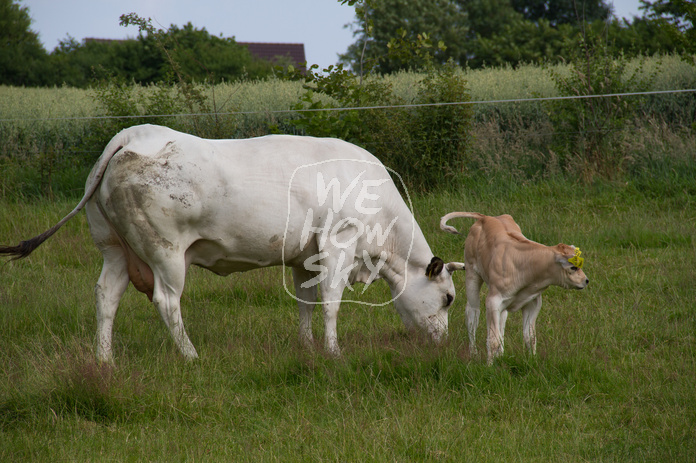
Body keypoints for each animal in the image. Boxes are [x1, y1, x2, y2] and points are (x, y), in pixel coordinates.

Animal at [4, 126, 468, 362]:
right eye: (448, 299)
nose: (443, 343)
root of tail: (131, 136)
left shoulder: (304, 257)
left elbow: (305, 303)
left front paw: (307, 347)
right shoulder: (339, 244)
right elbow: (331, 304)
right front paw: (334, 353)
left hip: (114, 250)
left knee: (106, 297)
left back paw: (105, 361)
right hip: (166, 253)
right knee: (167, 302)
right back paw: (191, 356)